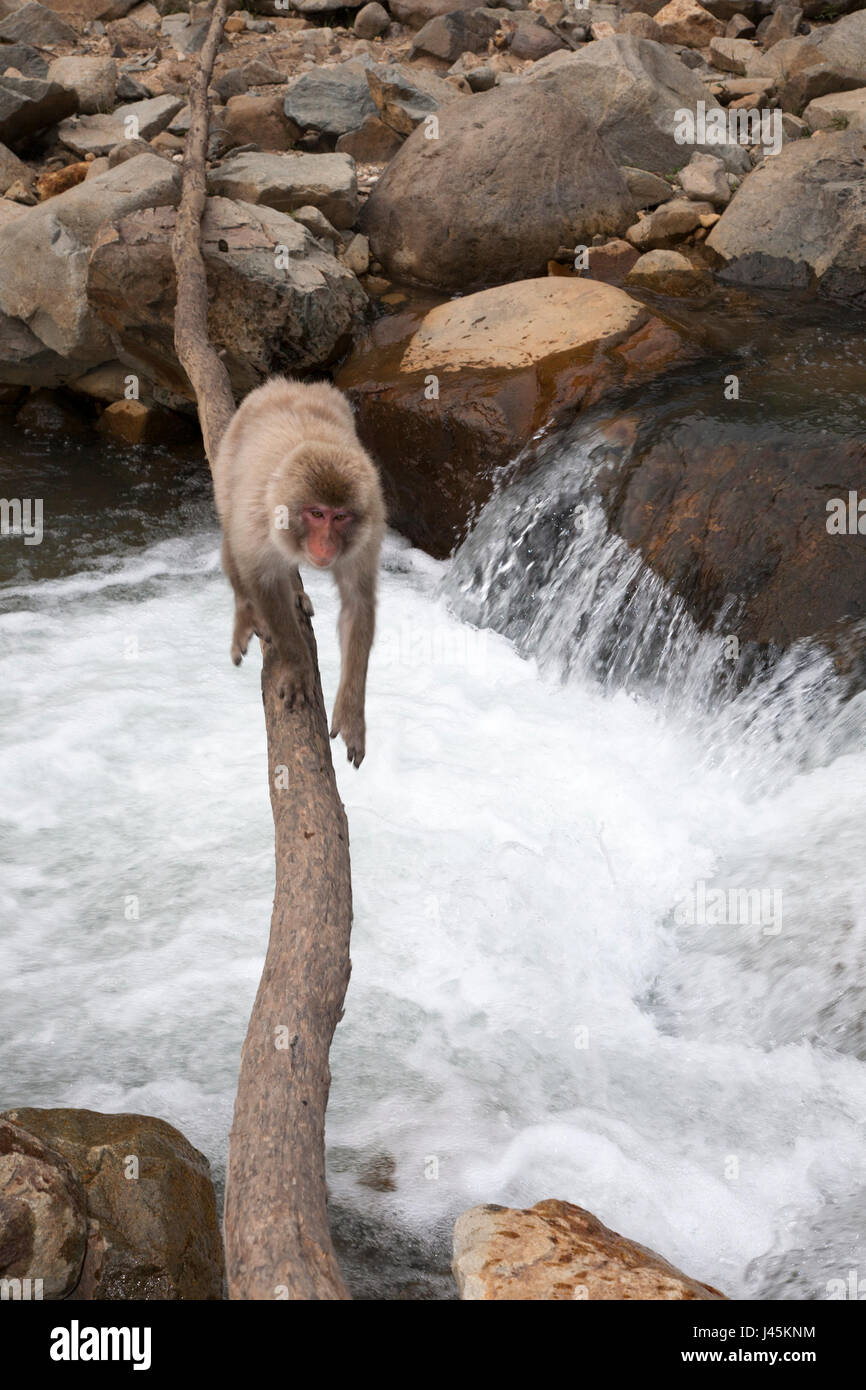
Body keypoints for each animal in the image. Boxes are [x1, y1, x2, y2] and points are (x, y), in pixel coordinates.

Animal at [212, 376, 386, 768]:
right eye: (317, 514)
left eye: (340, 516)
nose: (326, 545)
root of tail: (285, 384)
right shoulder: (259, 519)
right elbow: (261, 578)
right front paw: (297, 665)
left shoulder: (367, 533)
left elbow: (358, 603)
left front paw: (352, 712)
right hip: (227, 464)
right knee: (232, 538)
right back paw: (246, 612)